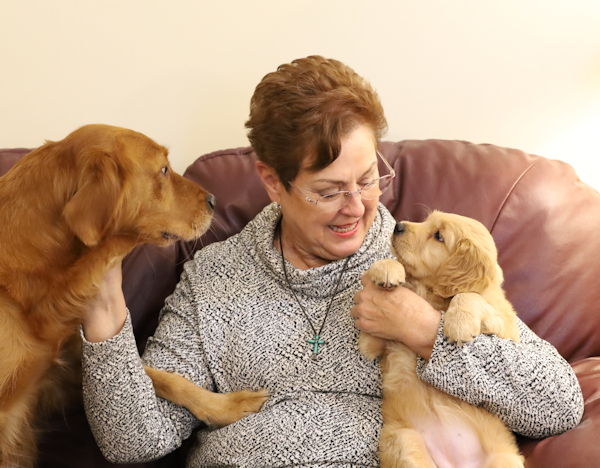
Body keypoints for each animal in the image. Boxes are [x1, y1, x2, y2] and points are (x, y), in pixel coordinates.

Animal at [358, 211, 524, 468]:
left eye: (438, 236)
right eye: (426, 221)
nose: (398, 226)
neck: (430, 295)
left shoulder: (507, 329)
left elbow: (469, 295)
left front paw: (459, 321)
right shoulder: (372, 344)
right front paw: (387, 267)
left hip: (505, 460)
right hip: (405, 440)